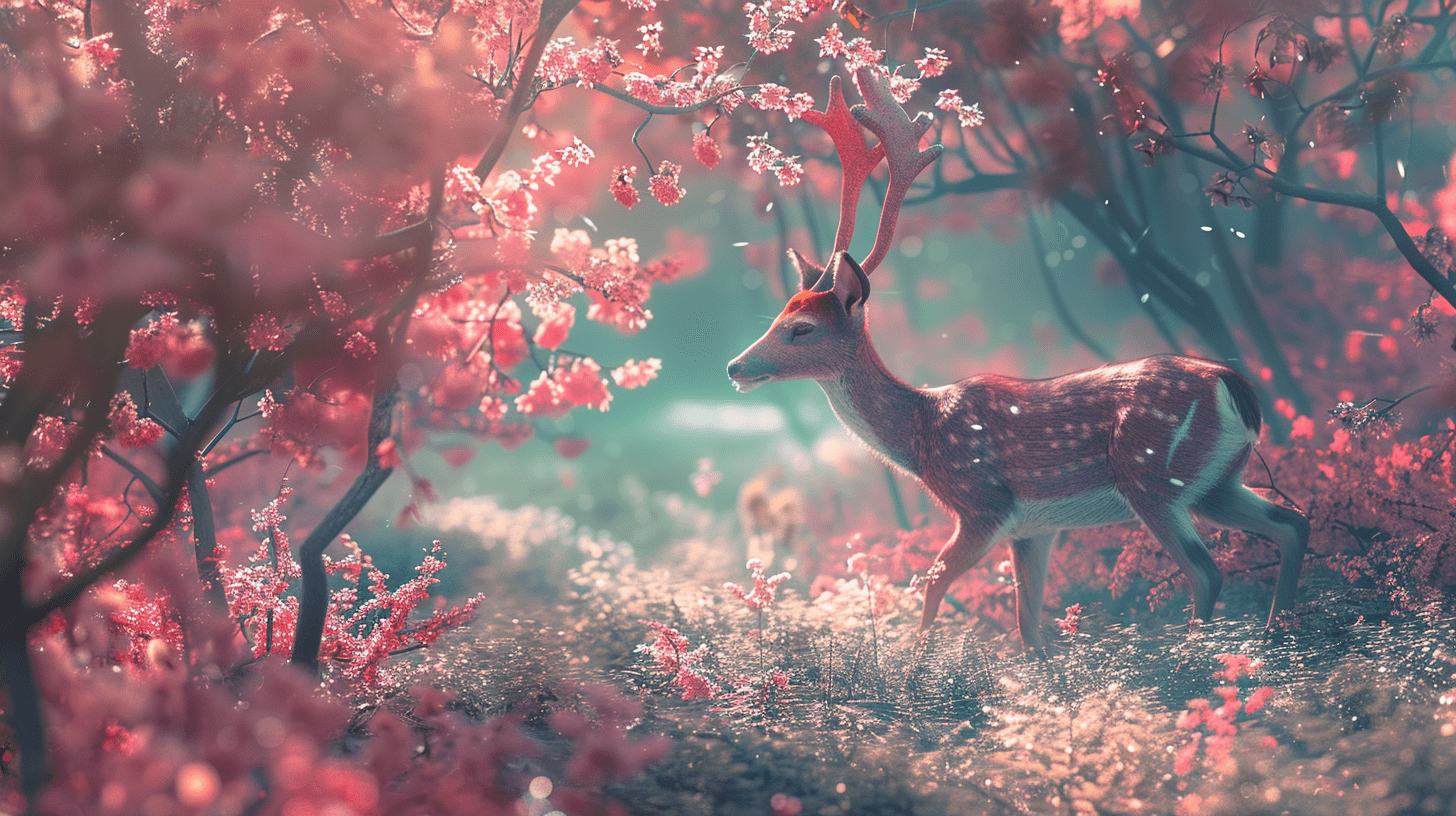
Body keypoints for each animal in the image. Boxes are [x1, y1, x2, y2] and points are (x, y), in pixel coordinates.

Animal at [725, 68, 1309, 651]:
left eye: (802, 328)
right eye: (781, 313)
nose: (734, 367)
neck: (920, 434)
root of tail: (1235, 387)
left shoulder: (984, 504)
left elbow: (933, 587)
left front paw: (916, 665)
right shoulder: (1035, 528)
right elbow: (1028, 626)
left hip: (1153, 476)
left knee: (1207, 570)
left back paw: (1199, 658)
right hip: (1215, 481)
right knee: (1293, 522)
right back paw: (1274, 640)